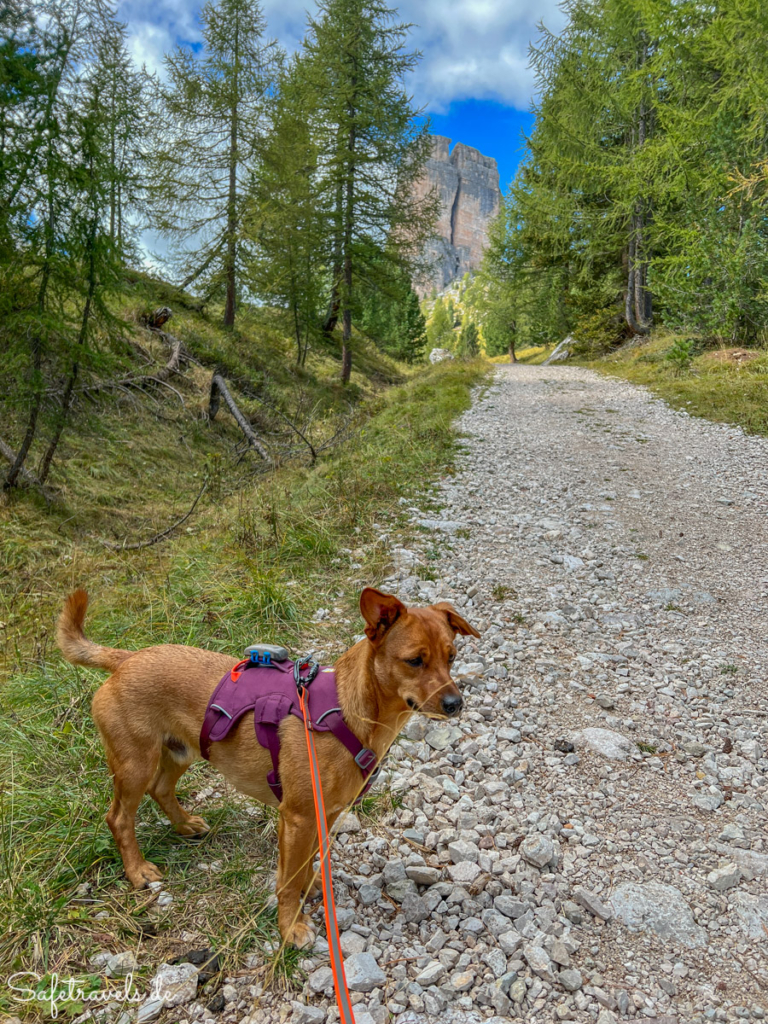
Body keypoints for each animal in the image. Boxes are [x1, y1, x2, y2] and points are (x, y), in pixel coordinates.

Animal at [58, 589, 481, 946]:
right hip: (135, 765)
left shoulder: (321, 815)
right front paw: (290, 926)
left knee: (161, 788)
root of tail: (126, 659)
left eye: (452, 657)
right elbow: (288, 880)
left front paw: (310, 885)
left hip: (181, 751)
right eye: (414, 661)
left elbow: (305, 862)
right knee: (119, 818)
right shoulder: (298, 817)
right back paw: (137, 870)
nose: (455, 704)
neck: (347, 711)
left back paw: (184, 824)